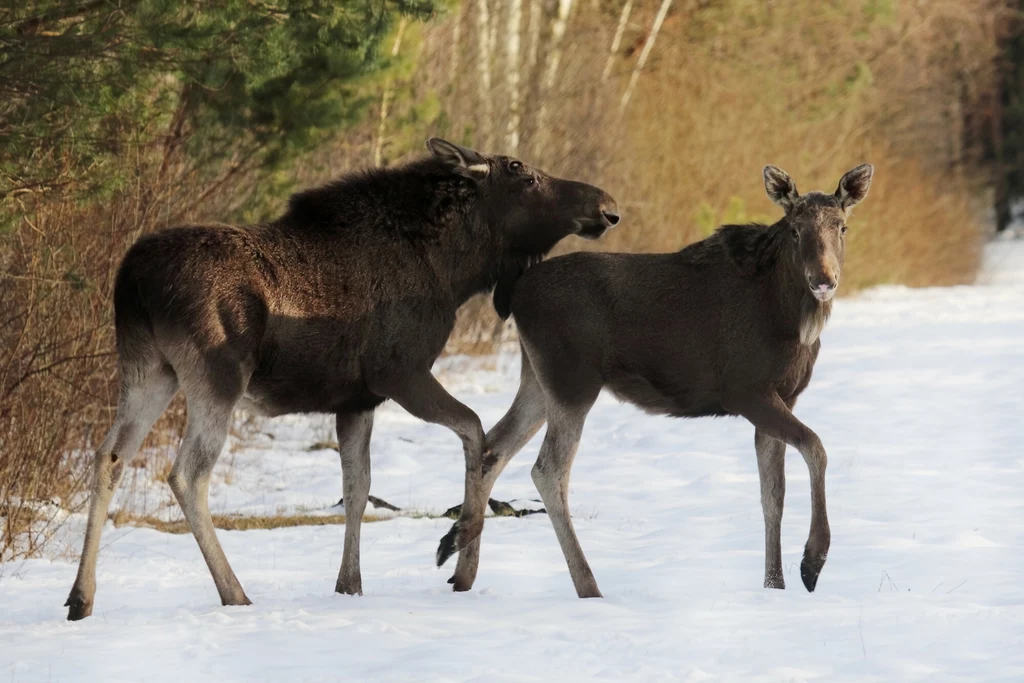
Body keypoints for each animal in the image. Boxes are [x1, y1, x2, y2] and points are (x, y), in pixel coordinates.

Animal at [70, 139, 622, 618]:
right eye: (524, 174)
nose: (607, 205)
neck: (453, 271)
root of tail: (132, 281)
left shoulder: (357, 399)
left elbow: (358, 487)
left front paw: (349, 583)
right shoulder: (399, 372)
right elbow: (475, 432)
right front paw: (456, 550)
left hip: (150, 369)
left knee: (109, 456)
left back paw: (81, 597)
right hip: (217, 374)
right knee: (186, 474)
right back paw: (234, 593)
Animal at [436, 162, 876, 593]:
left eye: (842, 227)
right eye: (796, 229)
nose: (823, 280)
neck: (792, 319)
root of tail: (514, 293)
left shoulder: (784, 395)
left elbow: (773, 495)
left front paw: (775, 585)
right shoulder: (746, 391)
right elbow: (815, 447)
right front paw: (812, 562)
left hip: (538, 380)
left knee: (493, 446)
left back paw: (459, 562)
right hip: (571, 379)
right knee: (547, 470)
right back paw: (588, 587)